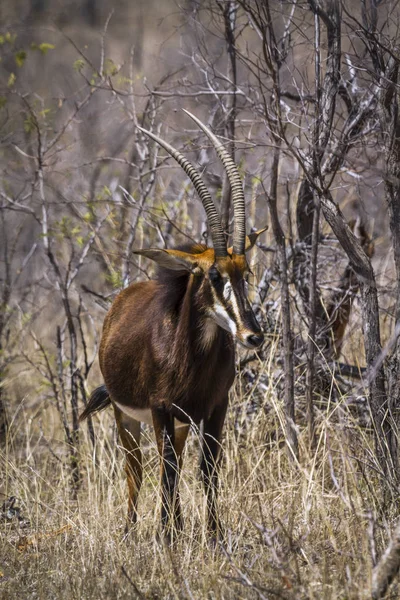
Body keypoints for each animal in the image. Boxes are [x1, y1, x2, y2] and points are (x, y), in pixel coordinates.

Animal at [79, 111, 264, 540]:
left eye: (244, 271)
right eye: (213, 274)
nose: (253, 336)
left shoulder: (214, 407)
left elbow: (207, 469)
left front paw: (212, 535)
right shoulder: (160, 408)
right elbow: (165, 471)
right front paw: (166, 537)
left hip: (179, 423)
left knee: (173, 465)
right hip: (129, 416)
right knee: (136, 469)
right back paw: (133, 530)